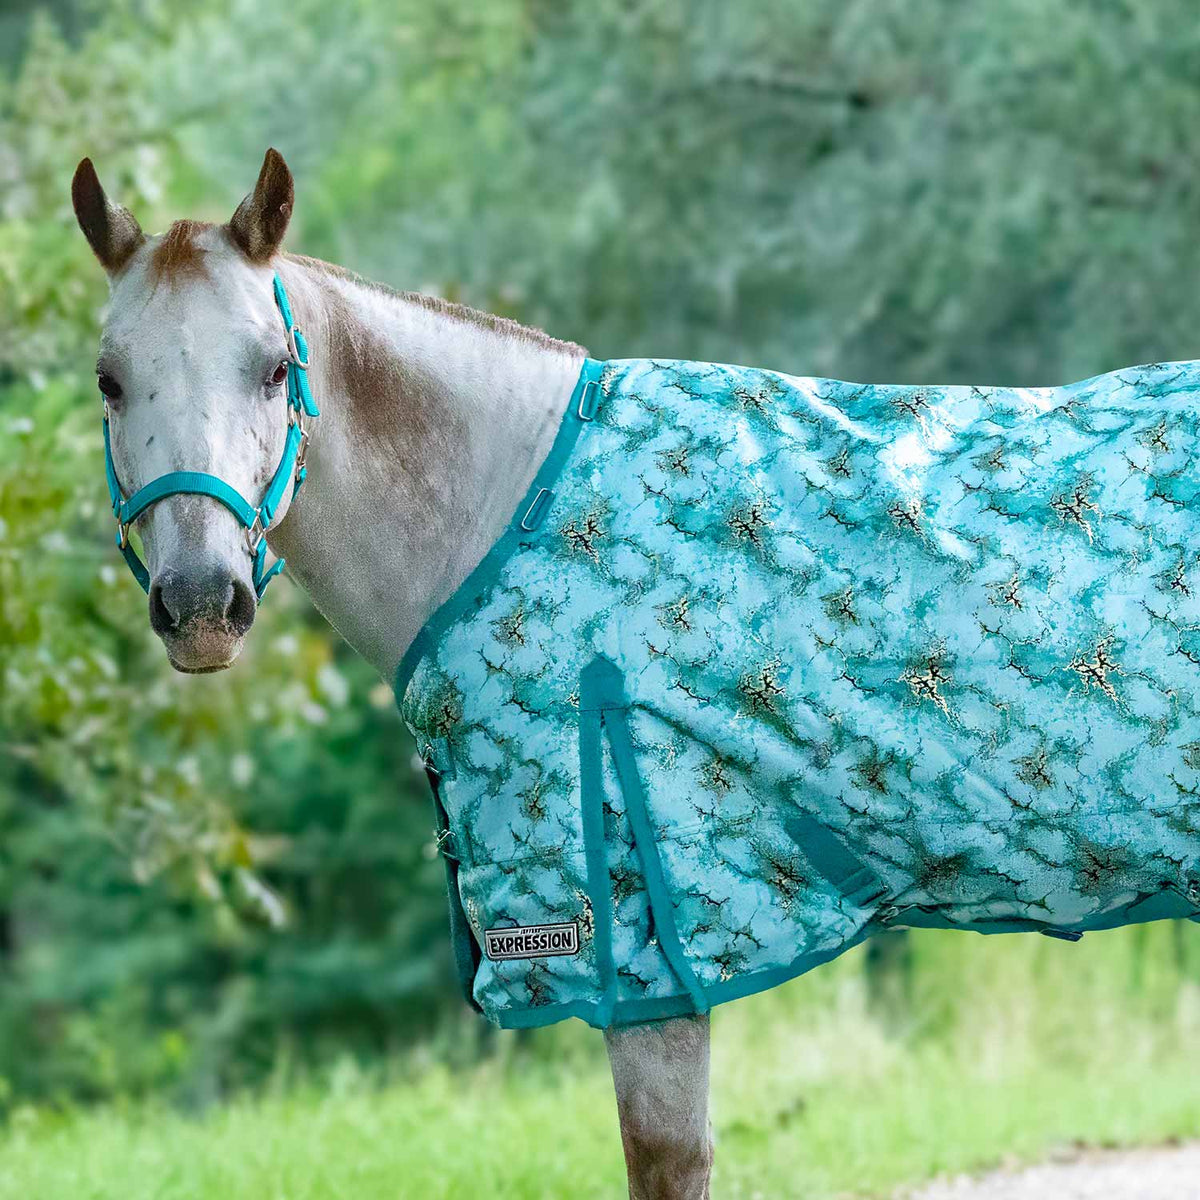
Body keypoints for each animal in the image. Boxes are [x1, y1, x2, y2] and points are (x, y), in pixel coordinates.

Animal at [73, 149, 1200, 1200]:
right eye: (108, 379)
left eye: (272, 368)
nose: (202, 601)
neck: (506, 507)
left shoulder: (643, 954)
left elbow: (664, 1162)